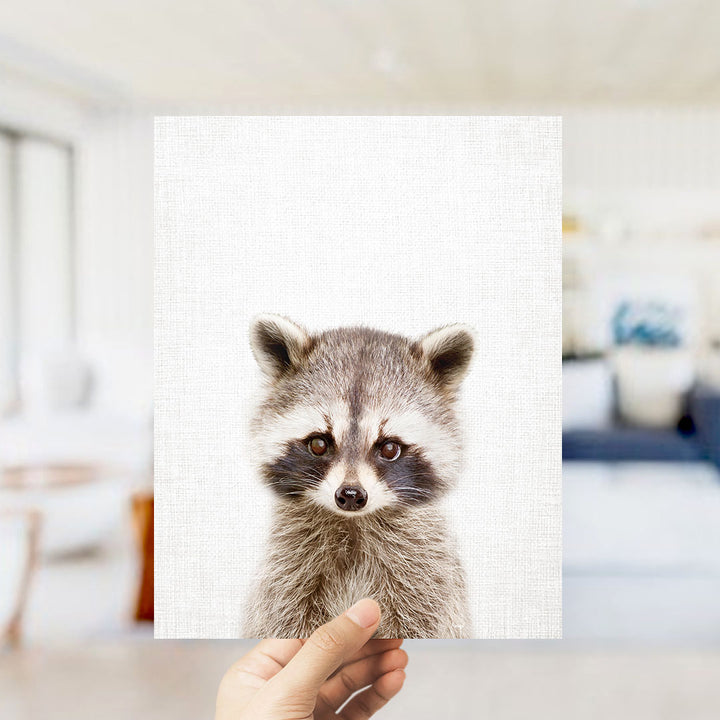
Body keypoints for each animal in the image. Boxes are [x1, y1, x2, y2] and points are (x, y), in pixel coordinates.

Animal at [243, 314, 474, 639]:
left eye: (389, 448)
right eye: (318, 444)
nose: (351, 495)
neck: (352, 524)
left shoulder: (427, 576)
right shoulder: (286, 573)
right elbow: (281, 621)